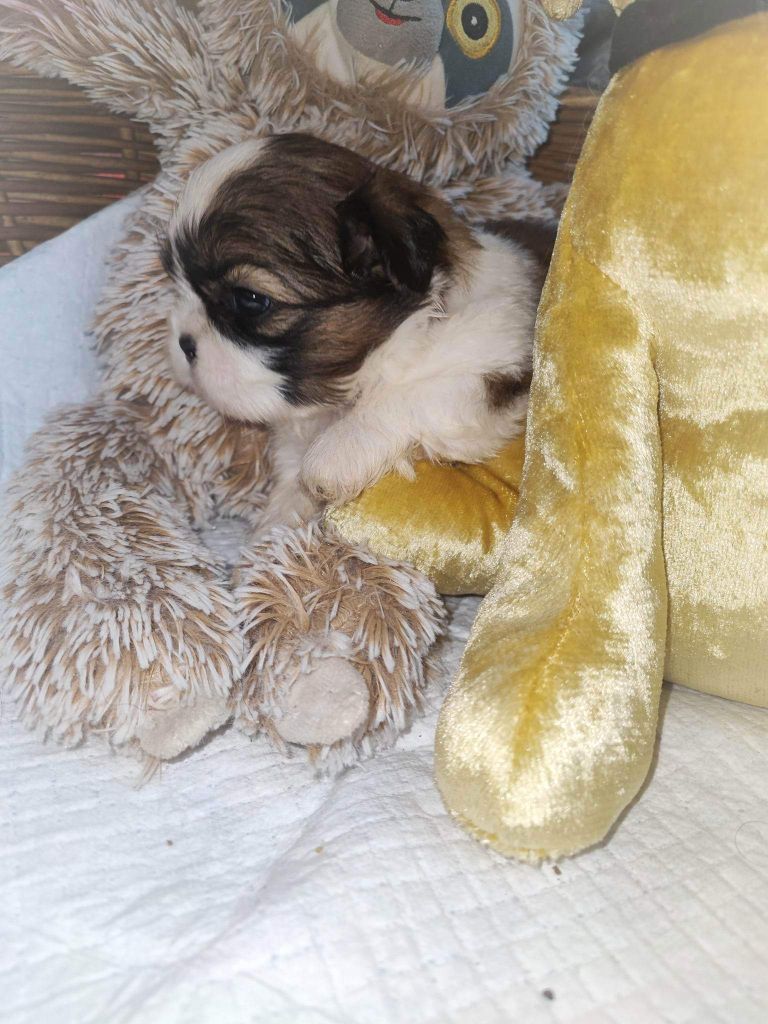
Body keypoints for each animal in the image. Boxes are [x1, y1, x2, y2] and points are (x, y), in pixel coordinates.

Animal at [161, 133, 554, 527]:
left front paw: (336, 451)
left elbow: (414, 393)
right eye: (177, 282)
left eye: (251, 300)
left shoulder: (496, 359)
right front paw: (277, 526)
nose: (184, 344)